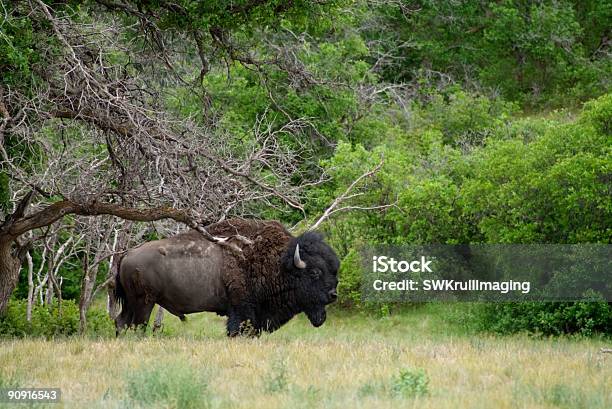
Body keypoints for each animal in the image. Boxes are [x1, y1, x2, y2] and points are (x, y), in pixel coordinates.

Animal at [113, 218, 340, 336]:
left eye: (334, 269)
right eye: (315, 272)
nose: (333, 295)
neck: (280, 264)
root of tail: (127, 254)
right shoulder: (241, 309)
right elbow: (236, 329)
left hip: (132, 303)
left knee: (121, 321)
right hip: (144, 302)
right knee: (137, 324)